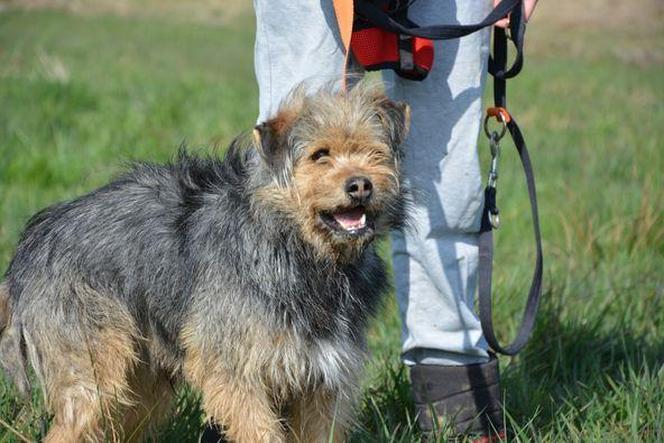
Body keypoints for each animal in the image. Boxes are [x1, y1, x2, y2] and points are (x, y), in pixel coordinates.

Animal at [0, 84, 410, 443]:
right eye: (320, 155)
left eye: (373, 153)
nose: (360, 185)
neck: (300, 250)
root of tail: (33, 241)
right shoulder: (235, 374)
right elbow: (259, 432)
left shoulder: (324, 383)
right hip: (94, 377)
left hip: (142, 385)